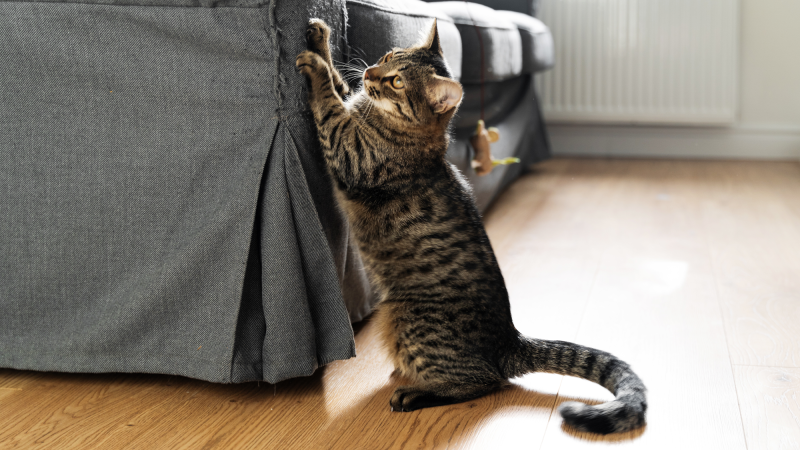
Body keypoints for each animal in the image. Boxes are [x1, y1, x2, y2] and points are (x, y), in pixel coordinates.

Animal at [296, 18, 648, 436]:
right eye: (386, 57)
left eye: (397, 82)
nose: (370, 73)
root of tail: (509, 340)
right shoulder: (353, 107)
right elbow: (339, 85)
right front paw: (320, 38)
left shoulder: (350, 151)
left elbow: (329, 102)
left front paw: (316, 65)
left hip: (408, 319)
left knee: (482, 381)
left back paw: (415, 392)